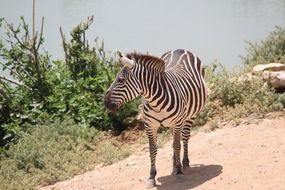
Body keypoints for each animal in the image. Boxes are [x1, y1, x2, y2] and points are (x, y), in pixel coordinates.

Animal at [104, 48, 206, 187]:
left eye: (120, 80)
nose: (104, 102)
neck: (156, 102)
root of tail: (181, 49)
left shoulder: (177, 122)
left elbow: (177, 145)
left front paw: (180, 172)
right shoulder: (149, 125)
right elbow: (153, 149)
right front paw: (152, 176)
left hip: (190, 115)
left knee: (184, 138)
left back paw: (184, 164)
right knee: (175, 141)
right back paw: (174, 165)